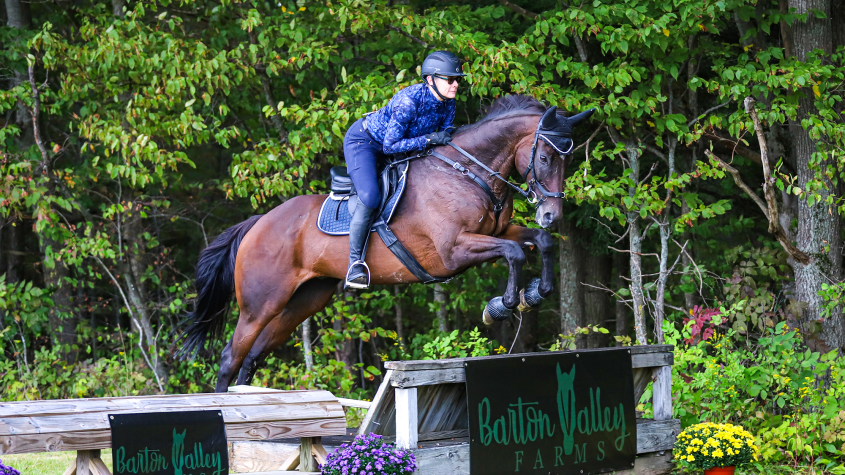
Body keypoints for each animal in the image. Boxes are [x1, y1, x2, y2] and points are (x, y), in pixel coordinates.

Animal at [178, 95, 594, 393]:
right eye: (545, 157)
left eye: (569, 160)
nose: (551, 214)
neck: (468, 173)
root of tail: (256, 225)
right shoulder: (453, 251)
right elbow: (513, 252)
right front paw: (503, 305)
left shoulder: (497, 231)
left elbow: (538, 242)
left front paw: (536, 293)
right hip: (259, 303)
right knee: (230, 357)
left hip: (303, 300)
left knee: (252, 358)